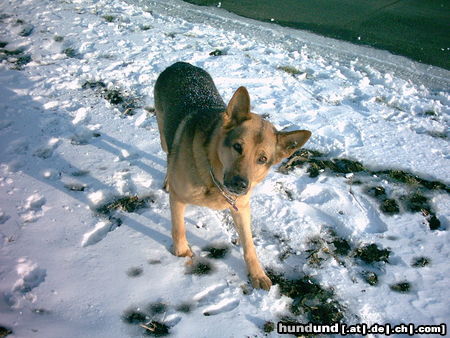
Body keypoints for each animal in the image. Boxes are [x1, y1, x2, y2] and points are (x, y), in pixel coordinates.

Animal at [153, 62, 312, 290]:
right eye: (237, 146)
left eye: (262, 159)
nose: (240, 185)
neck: (213, 179)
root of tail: (181, 64)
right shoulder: (178, 199)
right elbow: (178, 228)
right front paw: (181, 253)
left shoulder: (242, 208)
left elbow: (249, 244)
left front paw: (257, 273)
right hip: (164, 137)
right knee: (168, 156)